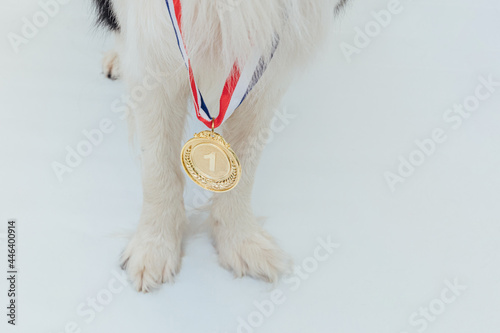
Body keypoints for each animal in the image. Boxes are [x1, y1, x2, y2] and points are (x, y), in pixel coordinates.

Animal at [93, 0, 348, 290]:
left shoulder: (269, 60)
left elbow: (244, 167)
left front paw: (242, 242)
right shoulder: (154, 47)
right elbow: (158, 168)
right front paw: (153, 248)